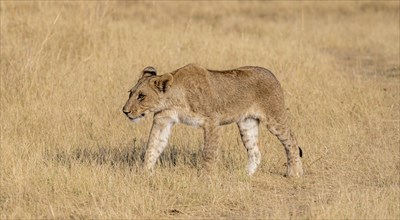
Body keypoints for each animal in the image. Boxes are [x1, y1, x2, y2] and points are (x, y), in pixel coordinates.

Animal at [122, 63, 304, 177]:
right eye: (130, 93)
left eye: (141, 96)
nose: (125, 111)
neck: (174, 100)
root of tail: (271, 73)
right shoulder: (163, 121)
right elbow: (152, 147)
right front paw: (145, 174)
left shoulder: (212, 122)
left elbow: (209, 152)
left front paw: (206, 178)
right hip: (247, 123)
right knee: (255, 151)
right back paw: (244, 176)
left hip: (274, 119)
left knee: (292, 142)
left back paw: (294, 173)